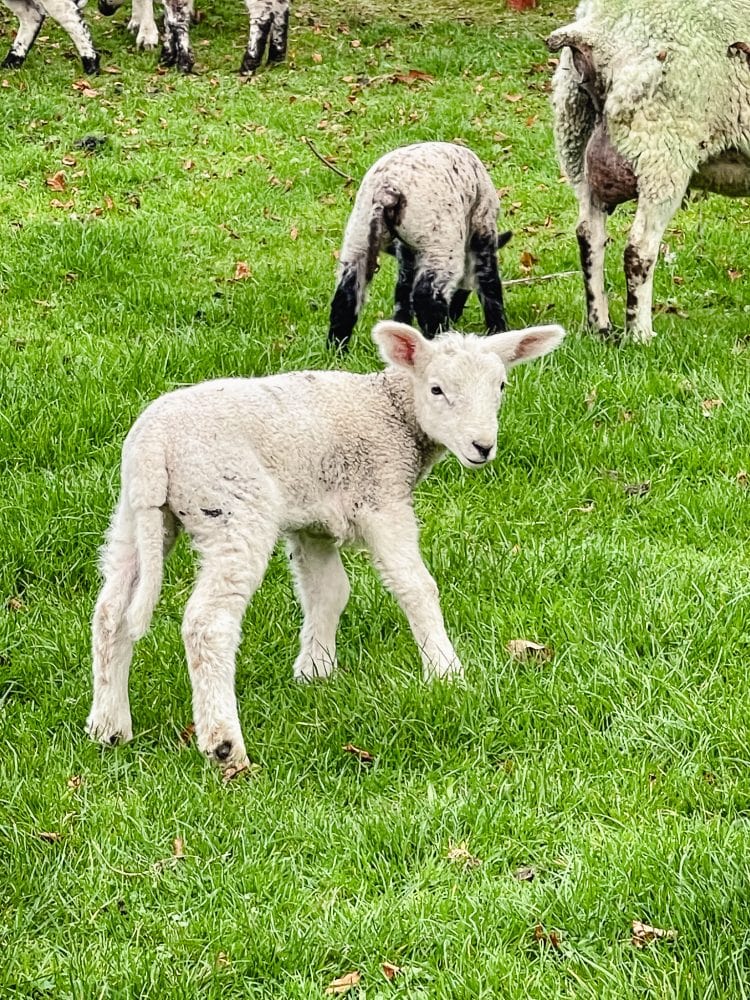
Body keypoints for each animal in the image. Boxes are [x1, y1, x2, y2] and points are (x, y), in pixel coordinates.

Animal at [88, 318, 568, 772]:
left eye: (500, 386)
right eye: (436, 389)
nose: (482, 446)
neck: (390, 411)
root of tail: (155, 445)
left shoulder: (313, 521)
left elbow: (329, 592)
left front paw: (315, 671)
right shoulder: (381, 498)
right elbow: (415, 585)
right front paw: (446, 672)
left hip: (138, 514)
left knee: (111, 611)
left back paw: (109, 726)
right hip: (231, 507)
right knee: (208, 624)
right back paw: (224, 745)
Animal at [95, 0, 290, 74]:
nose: (103, 8)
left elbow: (175, 18)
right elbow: (171, 17)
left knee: (261, 11)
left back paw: (248, 63)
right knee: (281, 7)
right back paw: (275, 56)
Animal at [328, 142, 512, 352]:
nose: (454, 315)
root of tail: (387, 189)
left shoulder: (405, 253)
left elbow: (402, 293)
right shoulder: (483, 225)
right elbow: (489, 283)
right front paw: (499, 331)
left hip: (359, 232)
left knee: (346, 294)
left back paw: (337, 350)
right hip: (440, 241)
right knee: (427, 298)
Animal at [548, 0, 750, 344]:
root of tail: (599, 28)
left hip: (576, 136)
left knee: (589, 235)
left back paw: (600, 326)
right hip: (662, 147)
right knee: (639, 248)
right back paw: (640, 334)